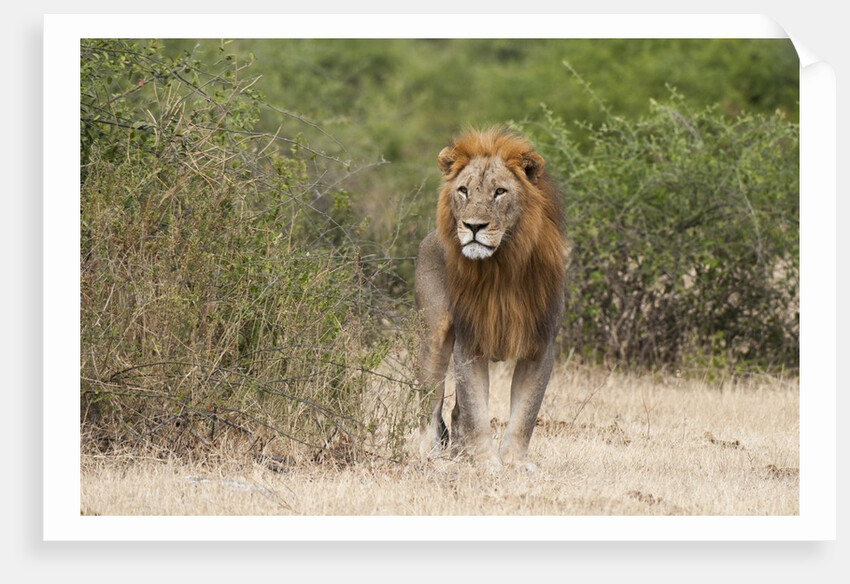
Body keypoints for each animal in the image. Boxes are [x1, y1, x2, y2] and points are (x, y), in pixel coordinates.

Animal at [414, 127, 566, 469]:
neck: (502, 267)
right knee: (429, 403)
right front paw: (486, 462)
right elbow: (476, 411)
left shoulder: (541, 346)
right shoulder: (470, 343)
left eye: (500, 192)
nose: (473, 226)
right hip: (434, 337)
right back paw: (431, 455)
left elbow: (525, 414)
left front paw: (514, 462)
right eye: (463, 191)